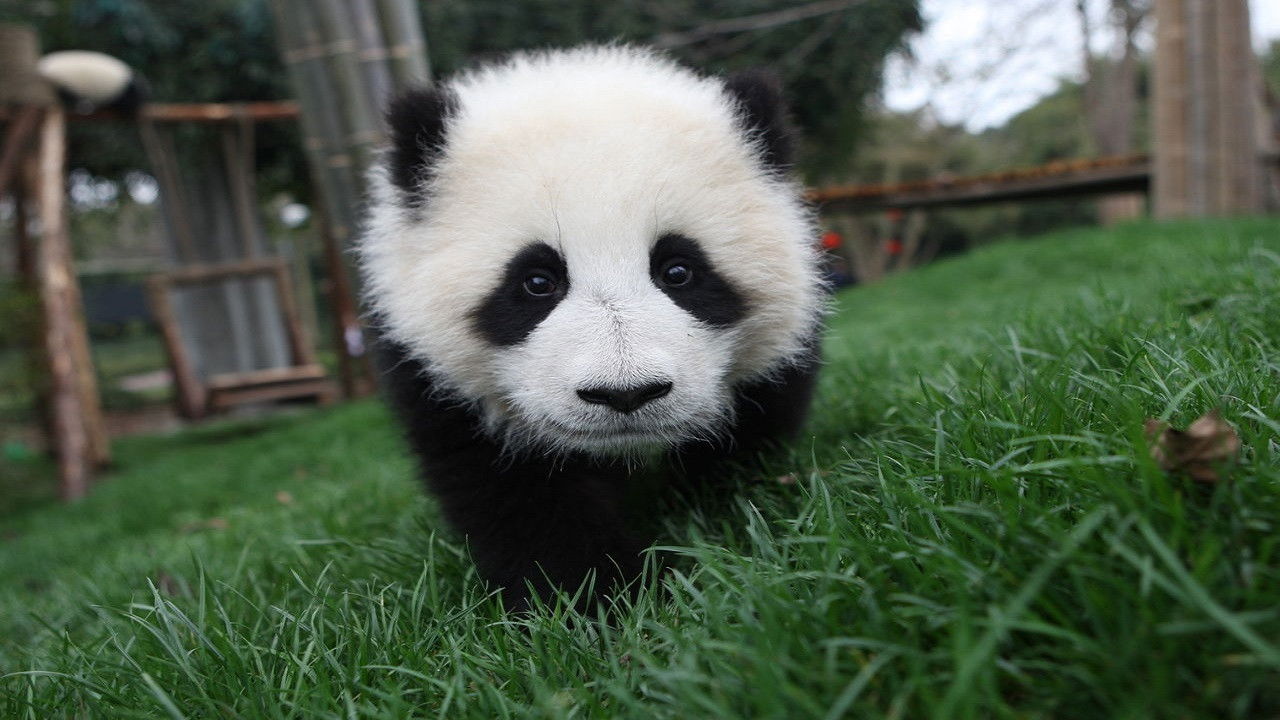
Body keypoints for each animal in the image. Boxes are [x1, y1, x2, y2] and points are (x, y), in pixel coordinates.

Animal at [361, 46, 825, 611]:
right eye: (537, 281)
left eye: (678, 271)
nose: (626, 394)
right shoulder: (430, 370)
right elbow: (511, 488)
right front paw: (599, 598)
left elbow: (752, 426)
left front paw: (715, 520)